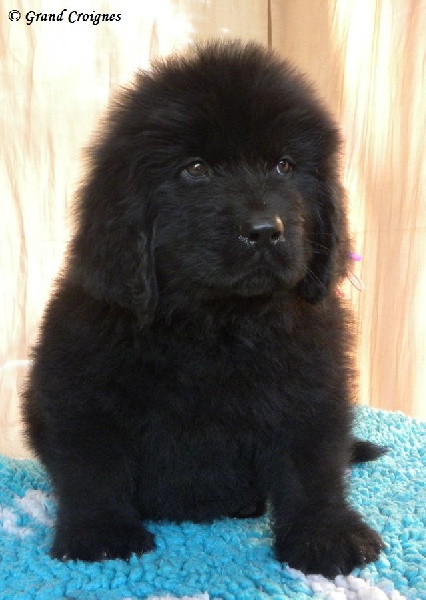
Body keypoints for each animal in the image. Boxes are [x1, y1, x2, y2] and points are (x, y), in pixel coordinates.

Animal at [23, 40, 385, 577]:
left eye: (284, 166)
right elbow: (93, 469)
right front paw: (101, 534)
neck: (218, 321)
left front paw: (326, 534)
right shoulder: (80, 388)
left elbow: (314, 467)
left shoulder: (312, 387)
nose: (265, 231)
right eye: (195, 170)